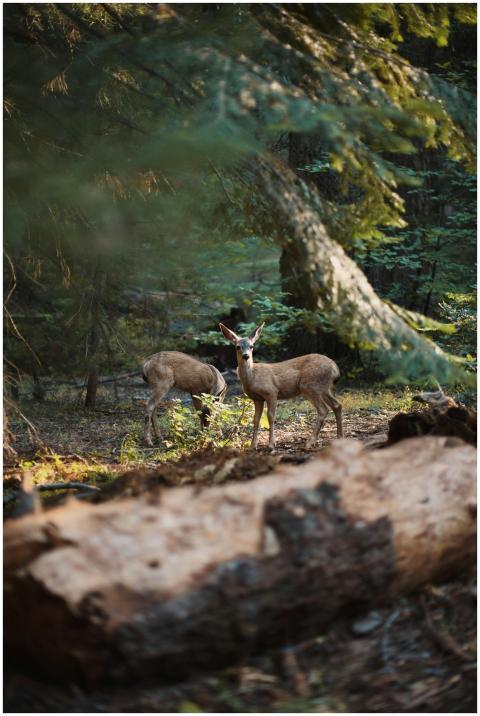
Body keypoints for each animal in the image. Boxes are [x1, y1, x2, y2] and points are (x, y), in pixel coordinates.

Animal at [219, 322, 343, 450]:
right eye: (237, 347)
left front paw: (271, 444)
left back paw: (309, 443)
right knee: (337, 405)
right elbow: (256, 420)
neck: (252, 377)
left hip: (310, 386)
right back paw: (339, 437)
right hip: (323, 388)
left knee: (323, 410)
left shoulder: (271, 392)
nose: (246, 356)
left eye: (251, 346)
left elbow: (271, 416)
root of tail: (336, 369)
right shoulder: (257, 399)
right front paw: (253, 446)